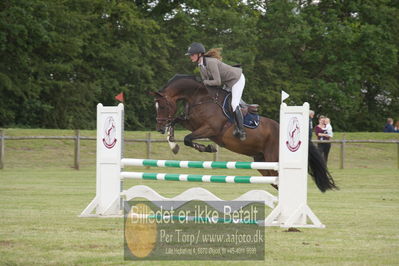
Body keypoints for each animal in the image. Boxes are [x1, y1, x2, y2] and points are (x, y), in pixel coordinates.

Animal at [150, 74, 338, 192]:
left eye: (164, 106)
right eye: (156, 106)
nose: (159, 128)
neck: (200, 97)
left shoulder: (211, 128)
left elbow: (188, 138)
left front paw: (208, 148)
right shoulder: (189, 122)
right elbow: (175, 123)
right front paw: (173, 144)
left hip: (273, 159)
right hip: (261, 163)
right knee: (275, 182)